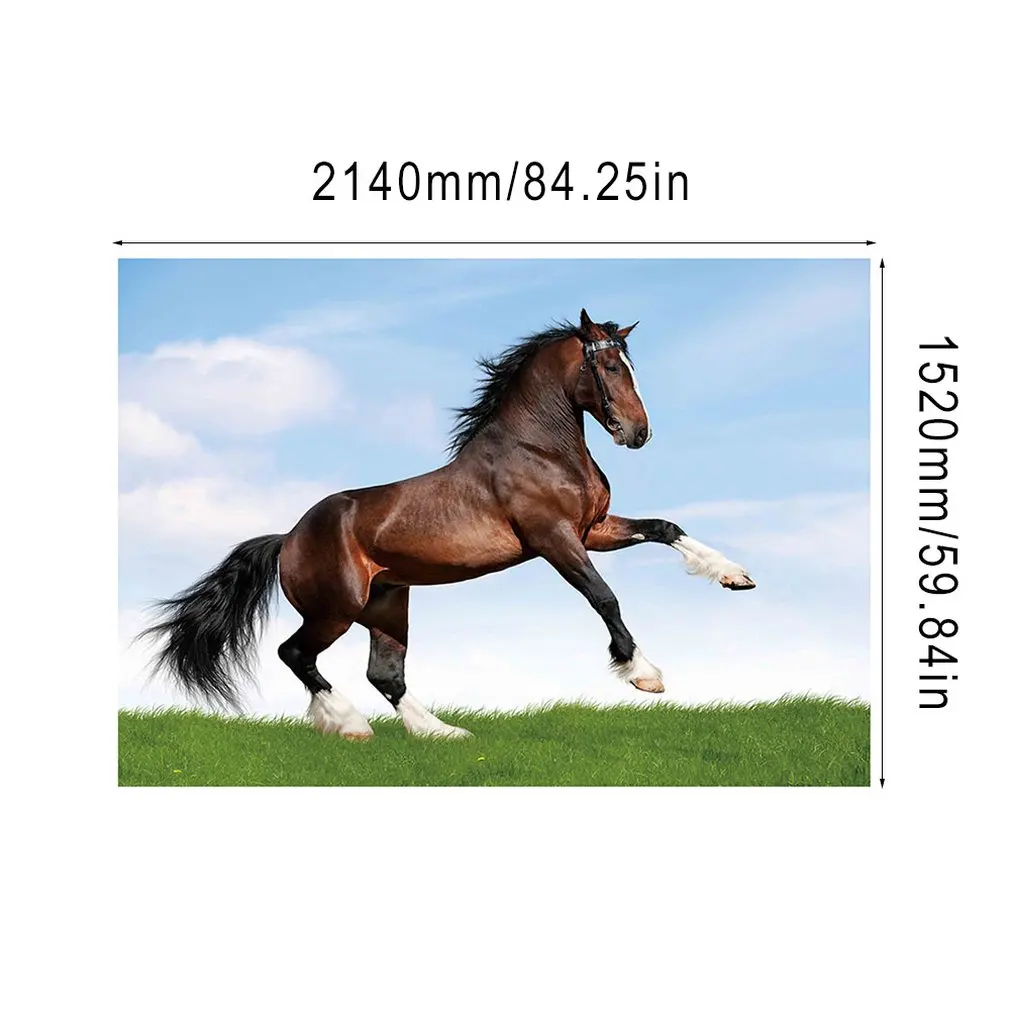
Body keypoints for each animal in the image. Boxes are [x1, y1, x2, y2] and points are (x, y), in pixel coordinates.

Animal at [140, 309, 755, 740]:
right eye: (606, 366)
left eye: (629, 366)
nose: (637, 433)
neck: (540, 449)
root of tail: (287, 538)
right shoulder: (555, 540)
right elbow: (604, 598)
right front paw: (644, 673)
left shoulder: (593, 531)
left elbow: (665, 528)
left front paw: (736, 577)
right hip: (335, 609)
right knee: (297, 655)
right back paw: (350, 724)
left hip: (387, 605)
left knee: (385, 674)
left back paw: (441, 732)